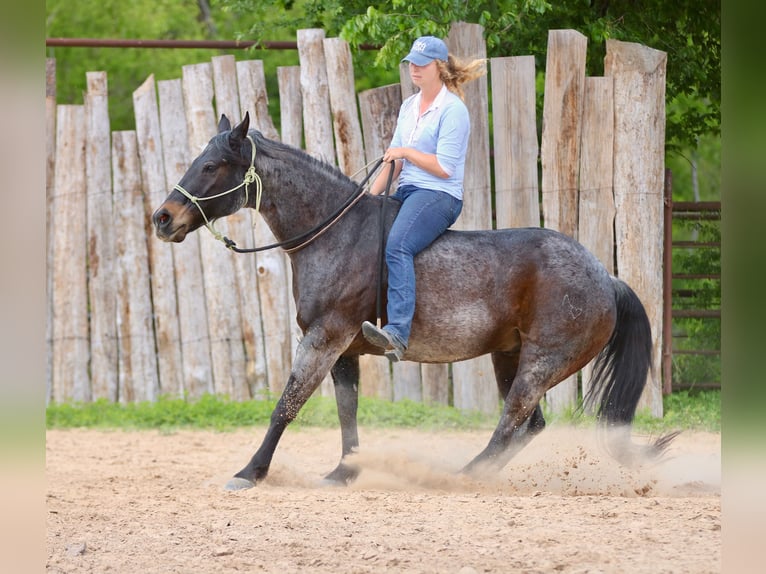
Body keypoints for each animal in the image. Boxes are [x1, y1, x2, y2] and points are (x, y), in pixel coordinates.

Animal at [152, 112, 674, 490]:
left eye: (211, 166)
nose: (163, 218)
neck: (336, 233)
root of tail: (605, 276)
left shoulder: (324, 338)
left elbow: (287, 404)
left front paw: (250, 472)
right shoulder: (344, 350)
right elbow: (347, 412)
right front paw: (345, 472)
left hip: (543, 361)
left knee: (512, 420)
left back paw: (460, 477)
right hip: (510, 356)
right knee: (529, 426)